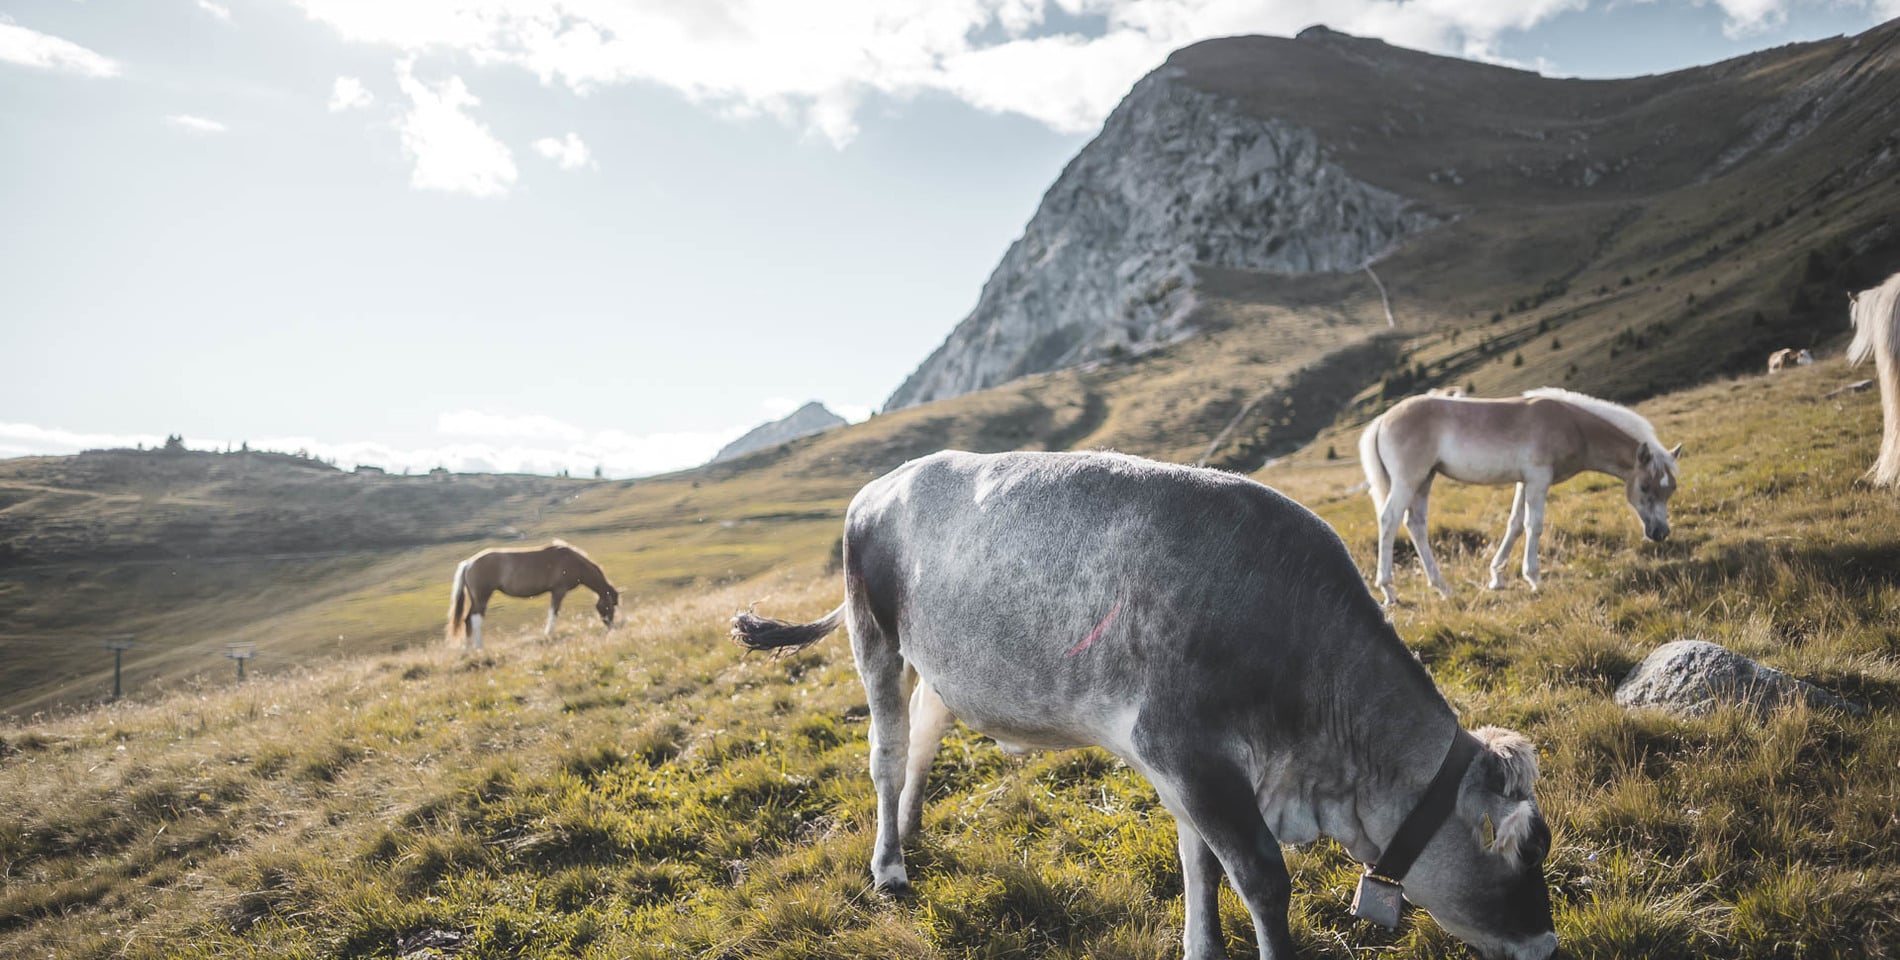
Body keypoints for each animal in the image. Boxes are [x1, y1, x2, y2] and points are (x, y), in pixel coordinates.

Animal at [446, 539, 619, 650]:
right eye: (610, 606)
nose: (611, 626)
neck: (573, 561)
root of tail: (469, 563)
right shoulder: (559, 591)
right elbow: (553, 612)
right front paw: (548, 634)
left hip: (476, 599)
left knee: (467, 620)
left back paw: (469, 650)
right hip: (482, 597)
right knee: (476, 619)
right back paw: (479, 647)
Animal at [733, 450, 1550, 958]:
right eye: (1522, 852)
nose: (1547, 944)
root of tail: (881, 485)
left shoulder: (1197, 773)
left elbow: (1199, 864)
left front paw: (1201, 946)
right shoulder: (1189, 753)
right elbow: (1260, 878)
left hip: (943, 663)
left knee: (925, 741)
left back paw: (911, 831)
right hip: (873, 636)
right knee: (887, 754)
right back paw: (890, 866)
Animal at [1360, 387, 1687, 600]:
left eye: (1671, 488)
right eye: (1645, 487)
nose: (1660, 533)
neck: (1572, 425)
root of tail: (1381, 420)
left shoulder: (1523, 481)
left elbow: (1515, 524)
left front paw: (1497, 577)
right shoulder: (1538, 479)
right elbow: (1534, 525)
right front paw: (1533, 578)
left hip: (1424, 480)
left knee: (1415, 524)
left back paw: (1443, 587)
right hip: (1408, 480)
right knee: (1389, 520)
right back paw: (1388, 589)